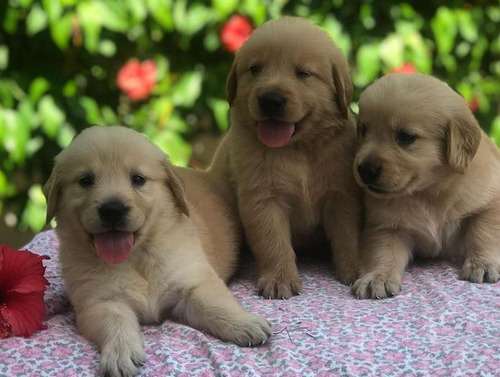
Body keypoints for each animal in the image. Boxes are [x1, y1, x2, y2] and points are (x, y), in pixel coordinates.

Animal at [43, 126, 270, 376]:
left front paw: (245, 324)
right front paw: (120, 353)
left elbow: (216, 305)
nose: (113, 210)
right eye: (85, 180)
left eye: (138, 179)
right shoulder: (99, 302)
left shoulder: (192, 281)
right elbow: (116, 322)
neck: (135, 257)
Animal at [209, 16, 362, 300]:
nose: (270, 100)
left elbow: (349, 235)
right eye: (255, 69)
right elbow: (273, 242)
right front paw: (279, 279)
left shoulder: (341, 195)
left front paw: (357, 268)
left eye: (303, 73)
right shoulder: (263, 199)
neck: (298, 150)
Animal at [352, 72, 500, 298]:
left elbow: (484, 232)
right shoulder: (385, 226)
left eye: (406, 137)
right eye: (364, 130)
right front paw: (377, 278)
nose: (365, 170)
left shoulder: (491, 201)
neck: (428, 192)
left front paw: (482, 264)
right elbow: (382, 252)